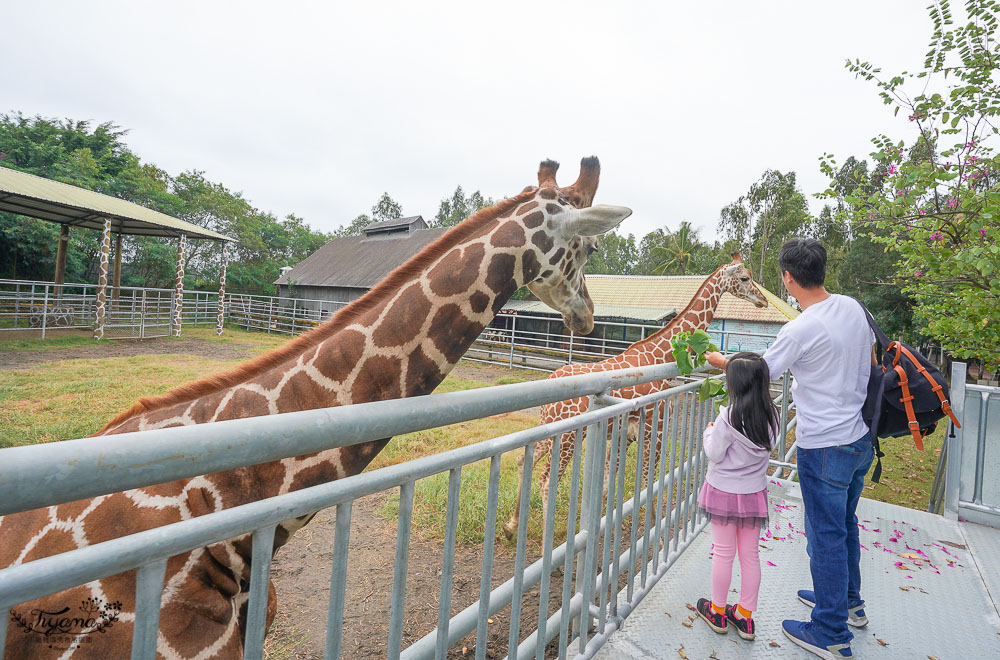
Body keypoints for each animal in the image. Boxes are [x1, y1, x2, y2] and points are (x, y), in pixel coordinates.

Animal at [500, 254, 764, 540]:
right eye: (745, 278)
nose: (762, 300)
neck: (659, 355)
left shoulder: (625, 434)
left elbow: (607, 482)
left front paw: (601, 530)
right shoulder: (654, 429)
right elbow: (648, 481)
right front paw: (650, 530)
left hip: (548, 430)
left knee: (522, 460)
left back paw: (511, 526)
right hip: (567, 436)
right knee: (547, 481)